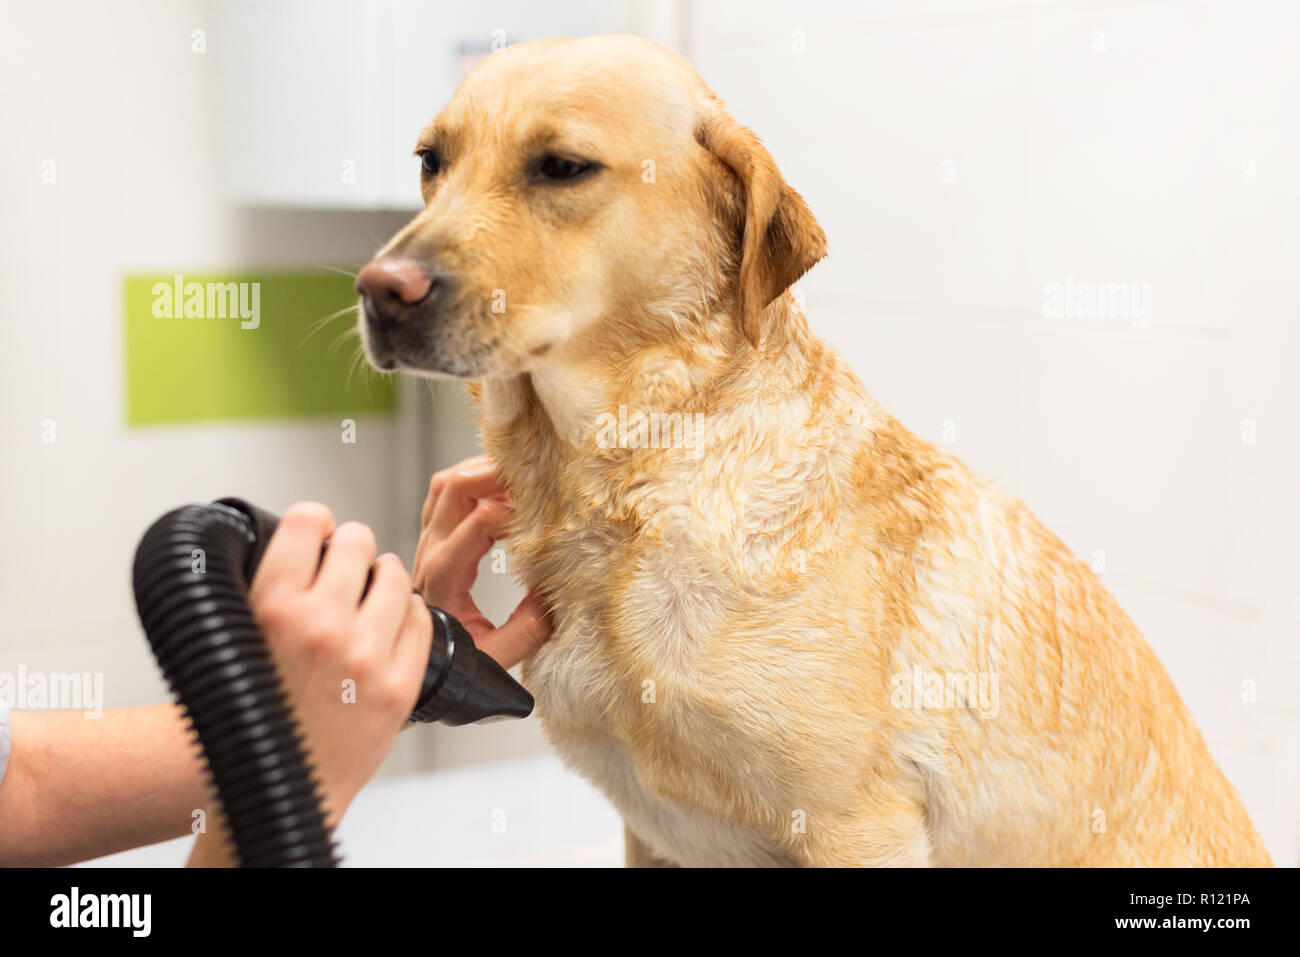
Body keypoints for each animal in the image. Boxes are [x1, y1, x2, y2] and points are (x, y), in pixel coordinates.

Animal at [358, 35, 1268, 868]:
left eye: (561, 167)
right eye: (431, 162)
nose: (378, 291)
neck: (645, 474)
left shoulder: (857, 828)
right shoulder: (650, 834)